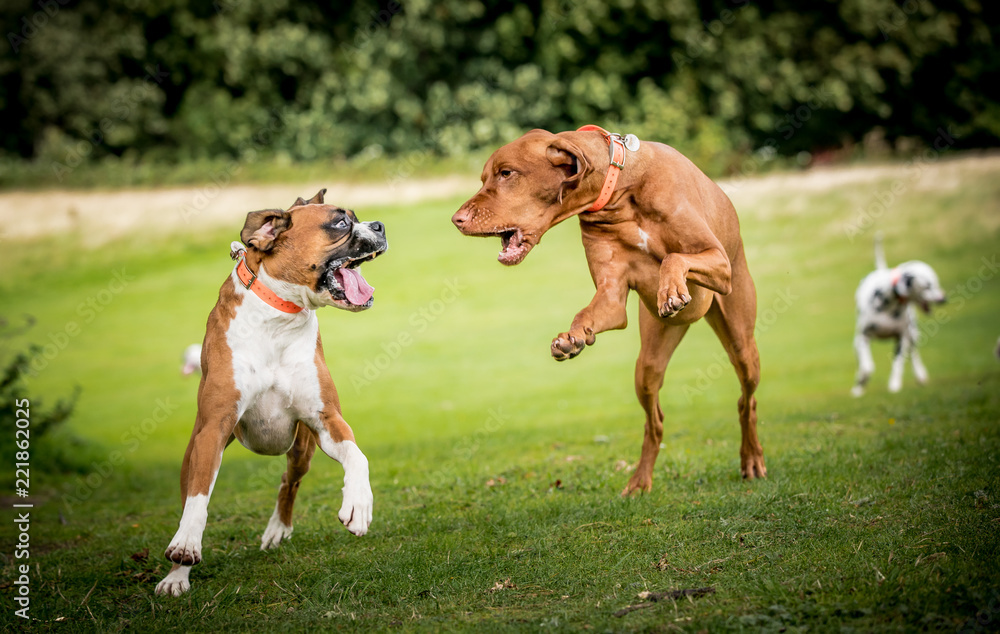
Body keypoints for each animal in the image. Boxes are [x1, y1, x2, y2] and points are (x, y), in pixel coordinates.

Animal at [156, 190, 386, 596]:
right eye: (341, 222)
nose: (380, 225)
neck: (280, 316)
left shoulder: (327, 420)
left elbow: (358, 458)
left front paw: (358, 505)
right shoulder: (213, 429)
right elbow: (197, 500)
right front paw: (184, 551)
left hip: (302, 448)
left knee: (289, 481)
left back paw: (278, 528)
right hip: (197, 449)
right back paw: (176, 574)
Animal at [454, 126, 764, 496]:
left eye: (506, 173)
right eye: (484, 177)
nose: (456, 219)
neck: (621, 190)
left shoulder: (717, 261)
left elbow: (674, 258)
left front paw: (671, 289)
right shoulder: (611, 297)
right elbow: (589, 313)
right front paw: (571, 339)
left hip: (741, 339)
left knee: (746, 400)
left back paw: (752, 459)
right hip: (648, 364)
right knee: (655, 422)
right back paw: (640, 480)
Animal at [852, 233, 944, 396]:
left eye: (936, 282)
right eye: (928, 285)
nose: (944, 299)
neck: (888, 303)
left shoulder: (901, 338)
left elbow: (898, 363)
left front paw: (894, 385)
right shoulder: (861, 338)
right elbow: (867, 367)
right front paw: (859, 386)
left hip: (913, 334)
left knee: (914, 354)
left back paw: (921, 375)